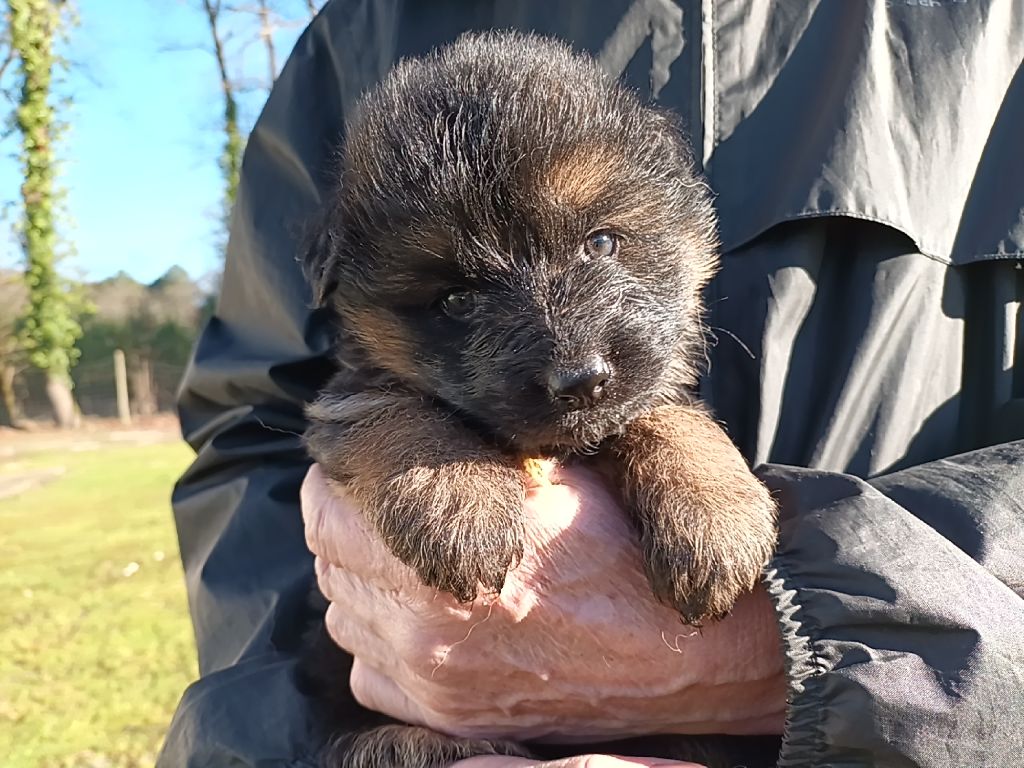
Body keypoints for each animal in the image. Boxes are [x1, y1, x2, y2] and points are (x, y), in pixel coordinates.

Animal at [299, 33, 778, 768]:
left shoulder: (648, 378)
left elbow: (667, 413)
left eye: (601, 242)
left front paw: (714, 512)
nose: (580, 380)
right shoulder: (346, 398)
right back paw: (402, 740)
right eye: (455, 300)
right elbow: (400, 413)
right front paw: (458, 500)